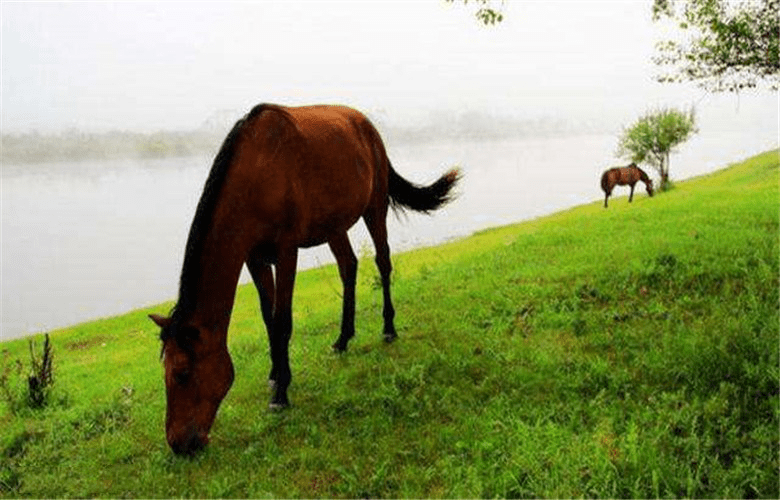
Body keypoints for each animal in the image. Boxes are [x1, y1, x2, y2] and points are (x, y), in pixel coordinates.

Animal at [149, 103, 460, 456]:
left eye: (182, 373)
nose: (178, 443)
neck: (256, 174)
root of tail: (366, 124)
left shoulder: (286, 251)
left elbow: (282, 319)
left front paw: (281, 394)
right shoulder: (254, 258)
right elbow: (268, 318)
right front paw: (275, 373)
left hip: (375, 206)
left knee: (383, 262)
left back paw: (389, 328)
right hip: (334, 225)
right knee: (348, 267)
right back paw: (343, 338)